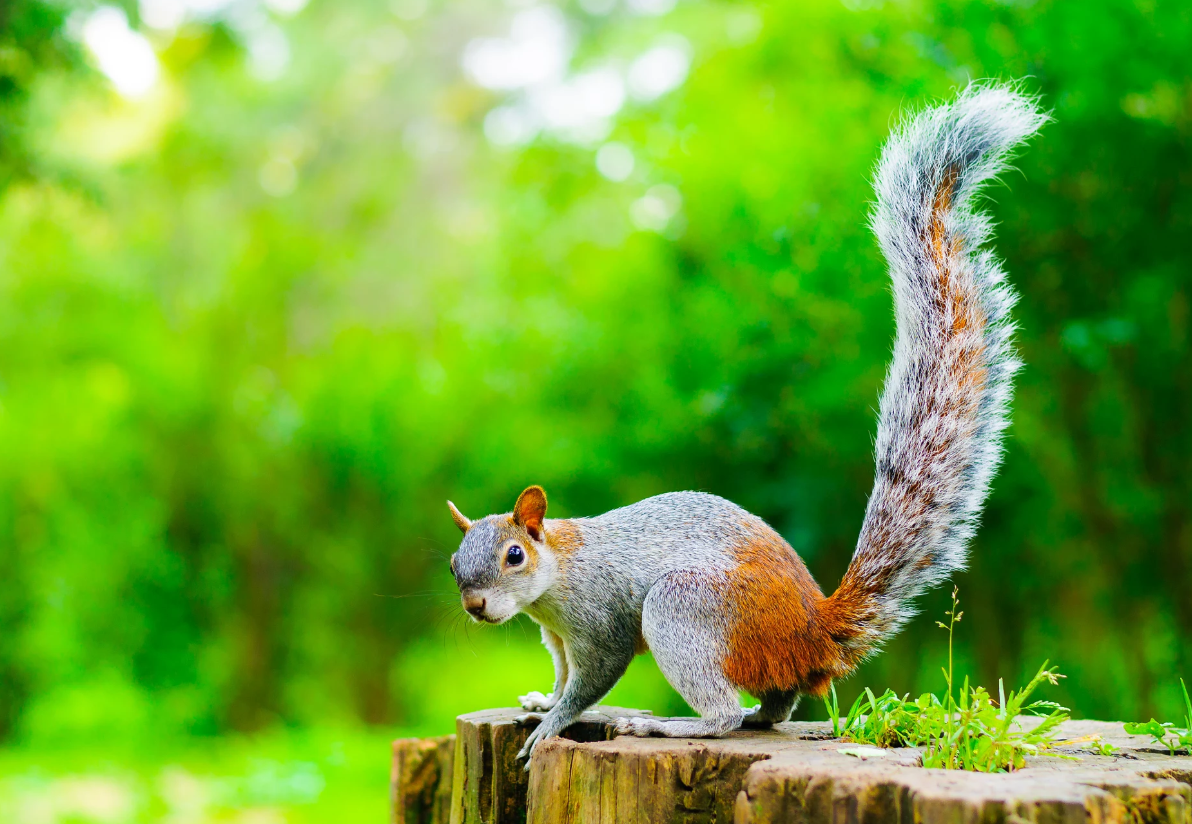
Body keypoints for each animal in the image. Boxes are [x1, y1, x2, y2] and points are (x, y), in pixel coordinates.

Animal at [445, 82, 1044, 758]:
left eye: (514, 555)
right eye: (454, 563)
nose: (476, 606)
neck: (557, 579)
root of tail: (814, 633)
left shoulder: (601, 622)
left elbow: (591, 679)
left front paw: (549, 728)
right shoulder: (557, 638)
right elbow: (562, 674)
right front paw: (540, 701)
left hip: (685, 611)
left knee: (725, 714)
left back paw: (668, 724)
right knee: (777, 706)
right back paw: (753, 714)